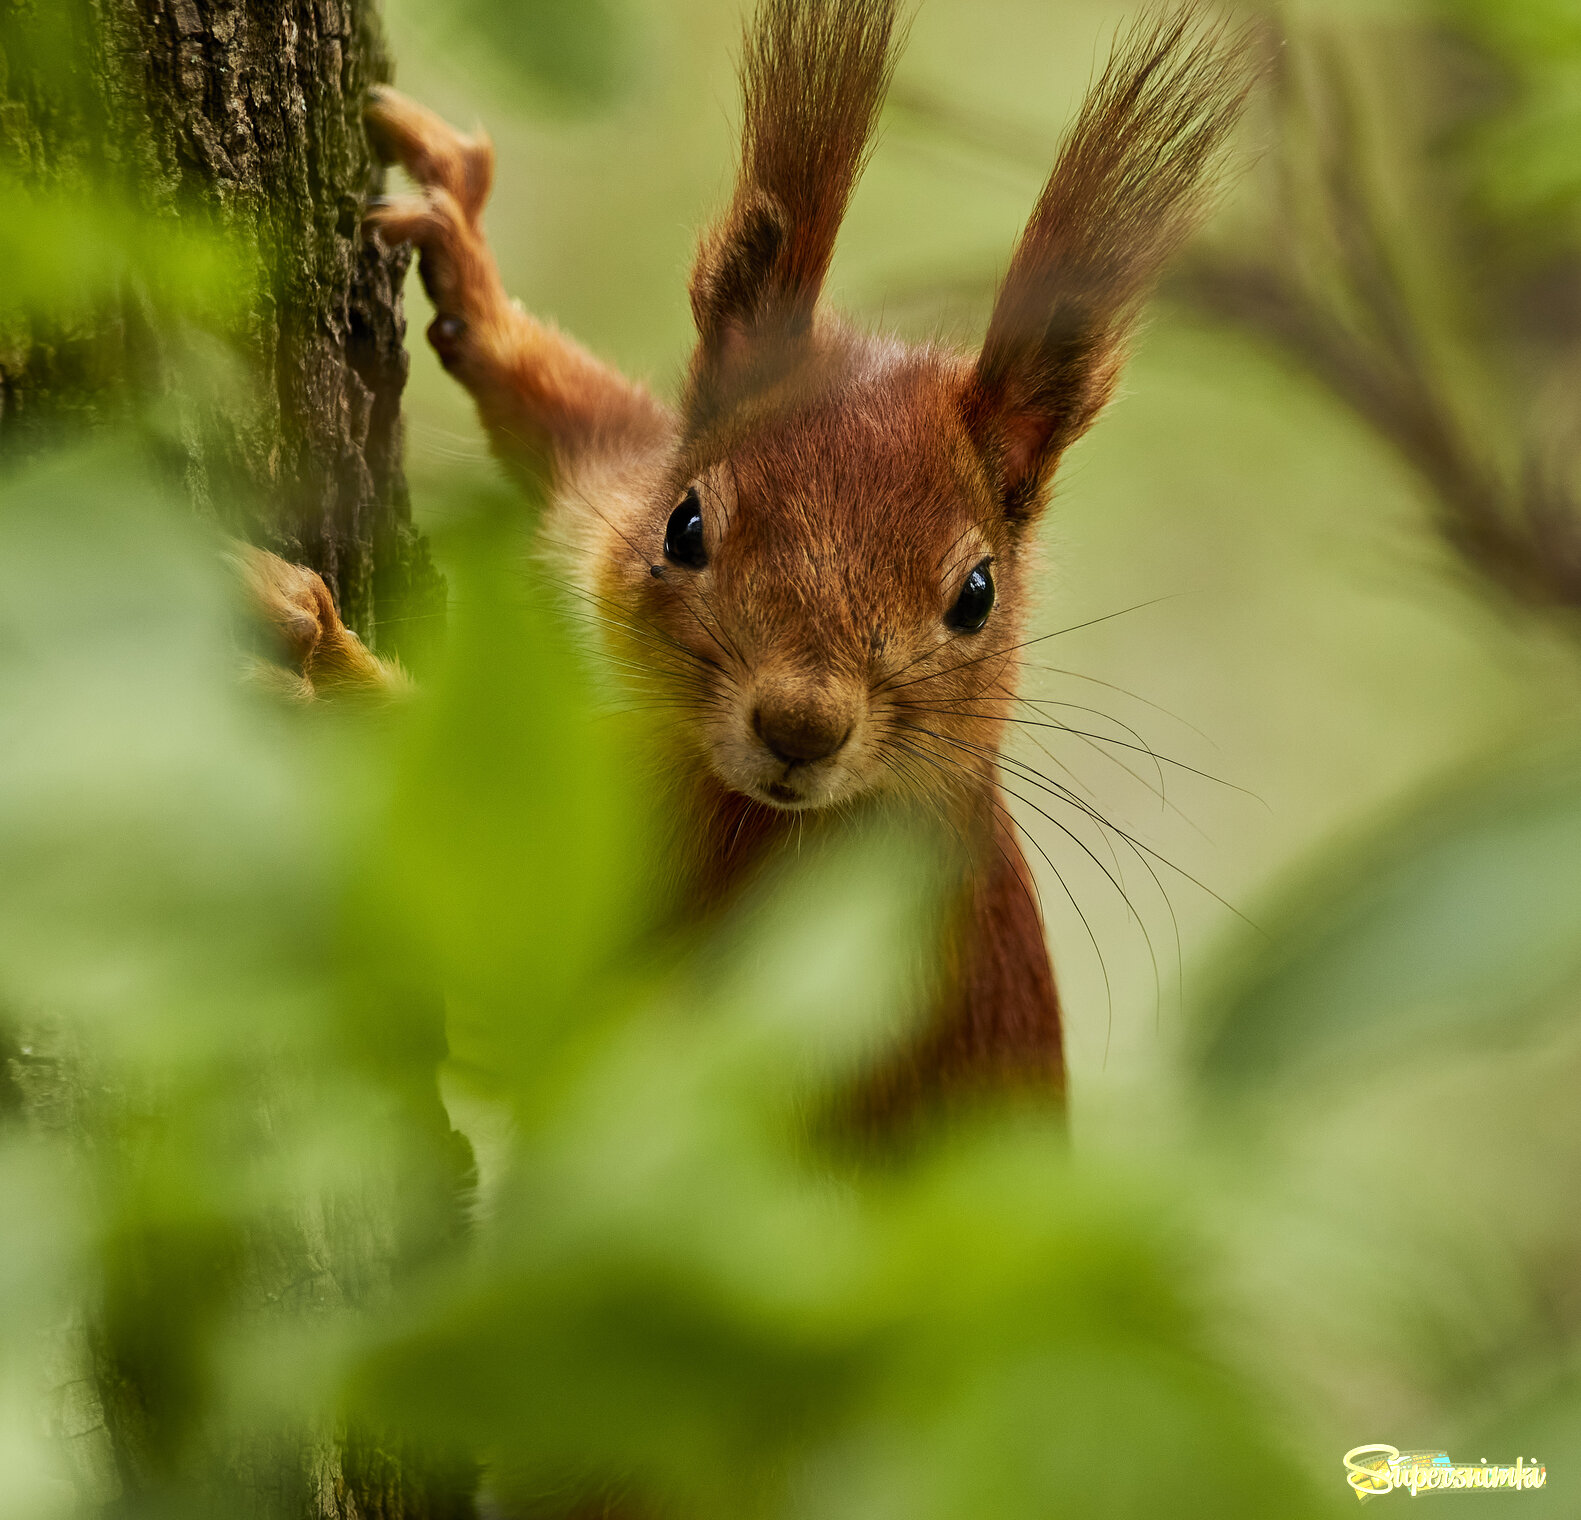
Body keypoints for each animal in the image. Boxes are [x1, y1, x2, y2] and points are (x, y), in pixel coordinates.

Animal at [265, 0, 1252, 1126]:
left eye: (977, 594)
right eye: (683, 527)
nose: (801, 727)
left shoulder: (666, 857)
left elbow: (483, 853)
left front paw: (318, 650)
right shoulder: (612, 499)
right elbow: (587, 422)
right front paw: (464, 251)